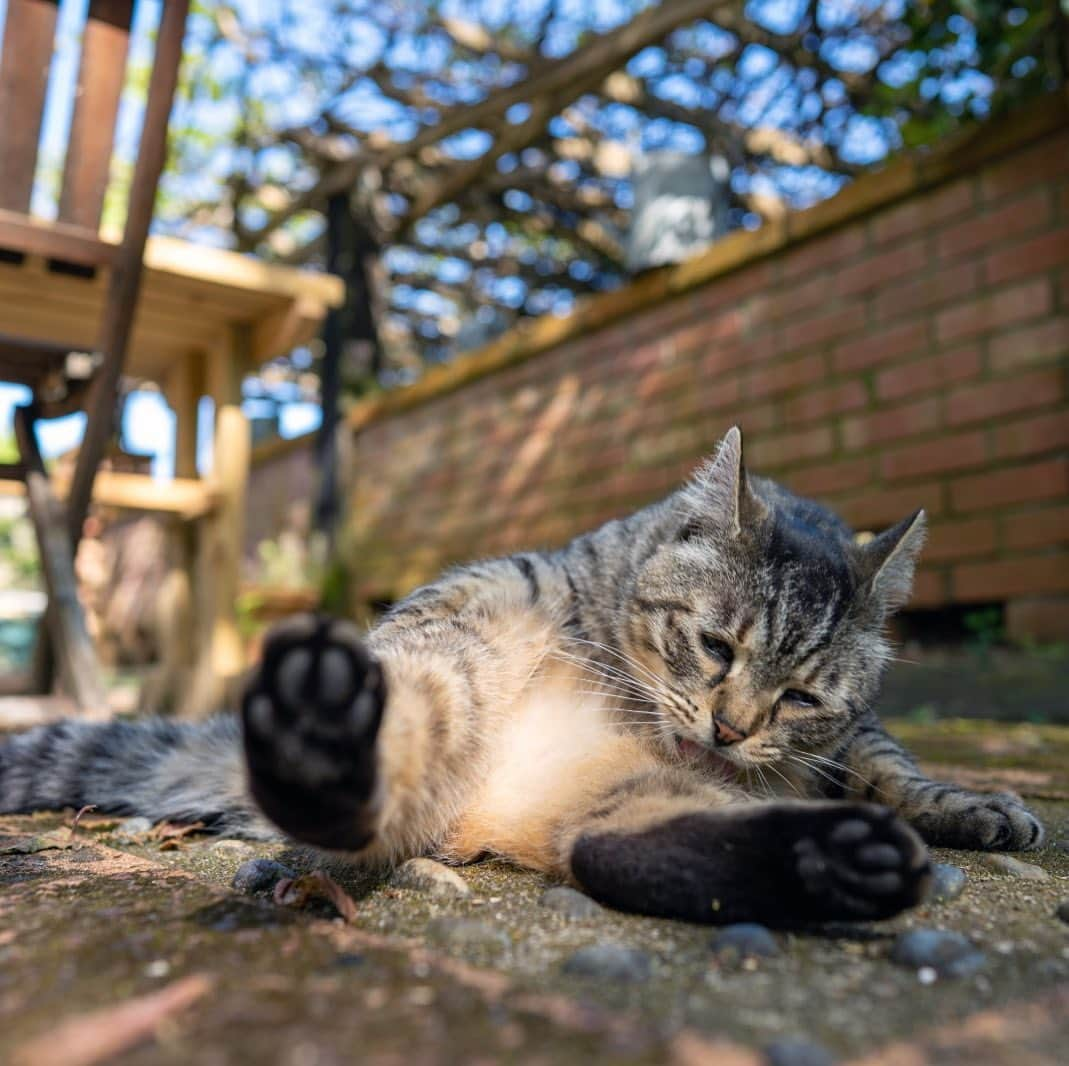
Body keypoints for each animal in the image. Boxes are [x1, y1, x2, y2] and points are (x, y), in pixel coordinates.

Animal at [0, 427, 1039, 928]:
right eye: (715, 647)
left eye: (801, 696)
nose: (731, 731)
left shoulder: (848, 736)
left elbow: (889, 765)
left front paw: (971, 807)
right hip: (457, 653)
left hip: (615, 797)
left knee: (631, 850)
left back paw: (840, 861)